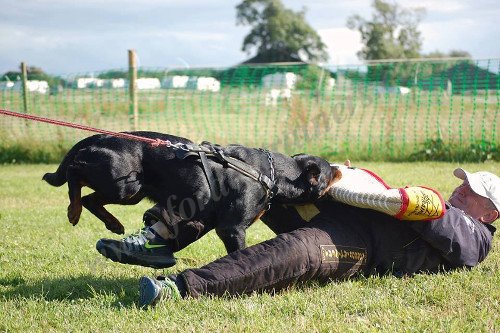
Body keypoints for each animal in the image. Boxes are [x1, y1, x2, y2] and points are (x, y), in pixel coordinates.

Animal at [44, 131, 340, 250]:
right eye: (329, 171)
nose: (340, 168)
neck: (271, 173)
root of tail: (98, 136)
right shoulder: (231, 228)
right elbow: (238, 251)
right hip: (124, 182)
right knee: (74, 172)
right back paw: (73, 211)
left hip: (131, 192)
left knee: (91, 198)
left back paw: (111, 223)